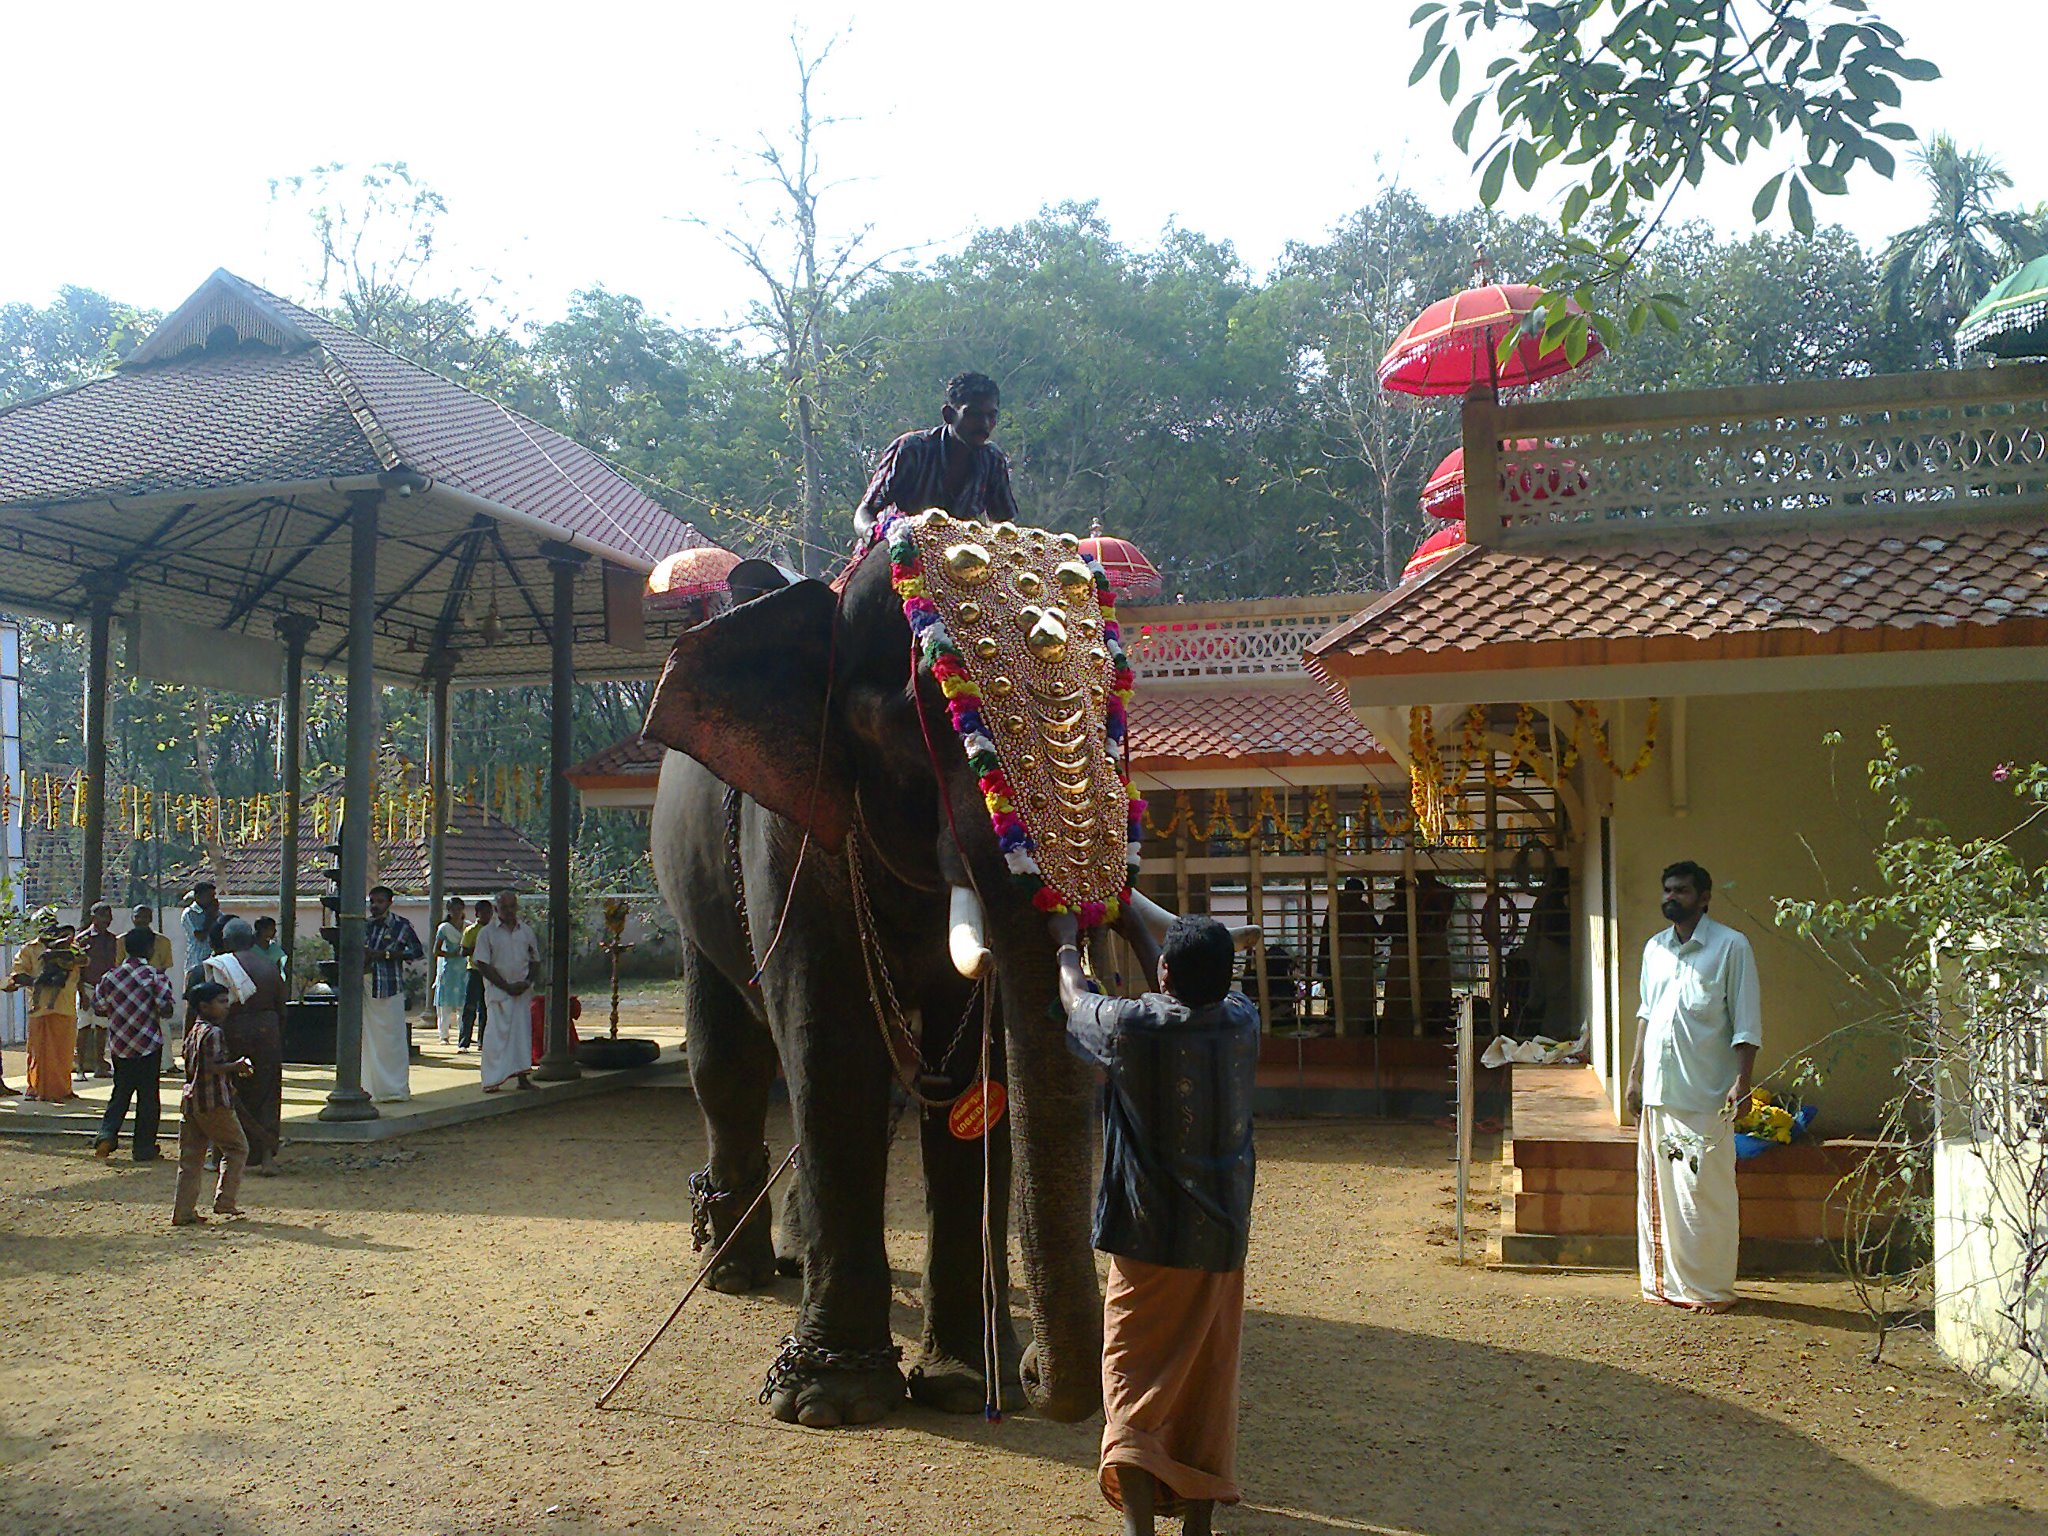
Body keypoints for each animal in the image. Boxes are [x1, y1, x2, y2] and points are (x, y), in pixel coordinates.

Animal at [638, 514, 1187, 1433]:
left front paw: (967, 1382)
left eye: (1119, 707)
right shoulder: (792, 834)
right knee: (728, 1061)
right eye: (917, 720)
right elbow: (831, 1048)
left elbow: (971, 1076)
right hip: (691, 893)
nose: (1034, 1371)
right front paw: (829, 1400)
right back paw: (733, 1268)